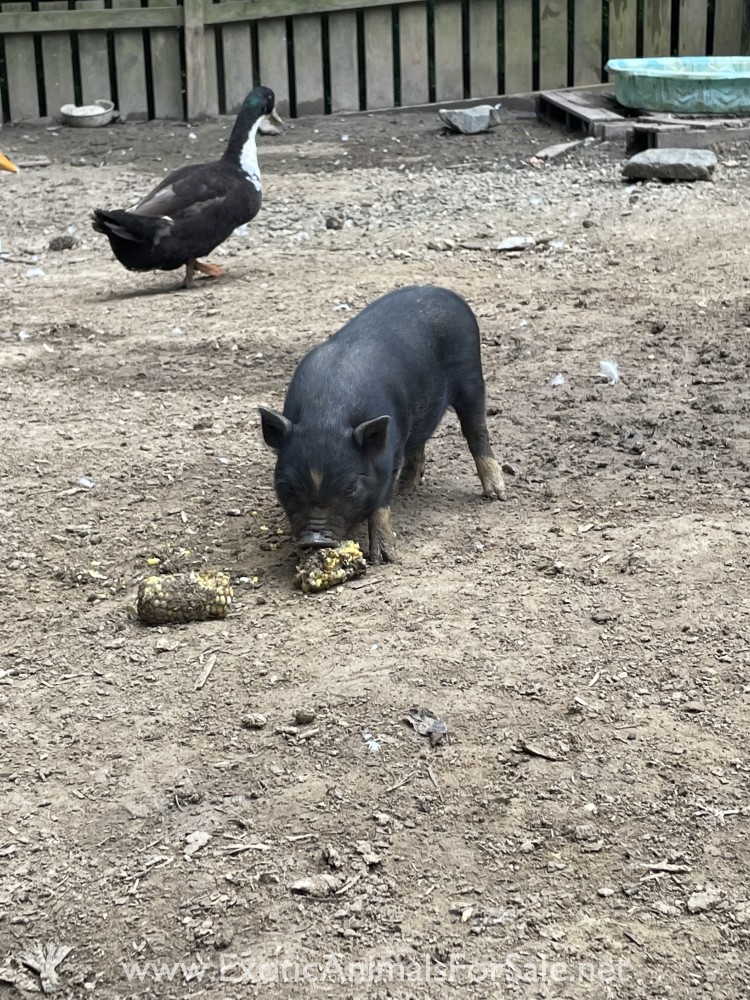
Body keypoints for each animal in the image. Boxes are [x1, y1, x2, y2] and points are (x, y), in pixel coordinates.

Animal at [258, 285, 505, 564]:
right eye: (287, 486)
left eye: (351, 488)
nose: (316, 540)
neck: (326, 414)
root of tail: (443, 291)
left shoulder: (389, 455)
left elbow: (380, 501)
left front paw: (384, 558)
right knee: (419, 443)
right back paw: (407, 489)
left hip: (472, 375)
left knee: (477, 431)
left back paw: (495, 494)